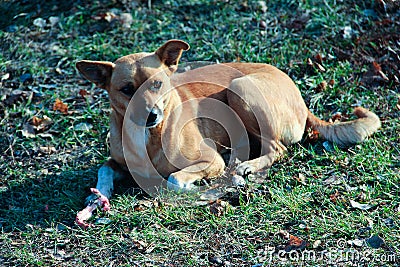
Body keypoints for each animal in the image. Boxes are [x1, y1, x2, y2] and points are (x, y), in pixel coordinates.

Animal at [76, 39, 382, 228]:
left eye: (157, 84)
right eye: (127, 89)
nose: (152, 116)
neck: (148, 134)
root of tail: (302, 101)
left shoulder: (210, 160)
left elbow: (175, 179)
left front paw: (201, 188)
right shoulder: (116, 161)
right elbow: (104, 169)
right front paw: (98, 195)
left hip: (241, 88)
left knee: (277, 149)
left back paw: (247, 166)